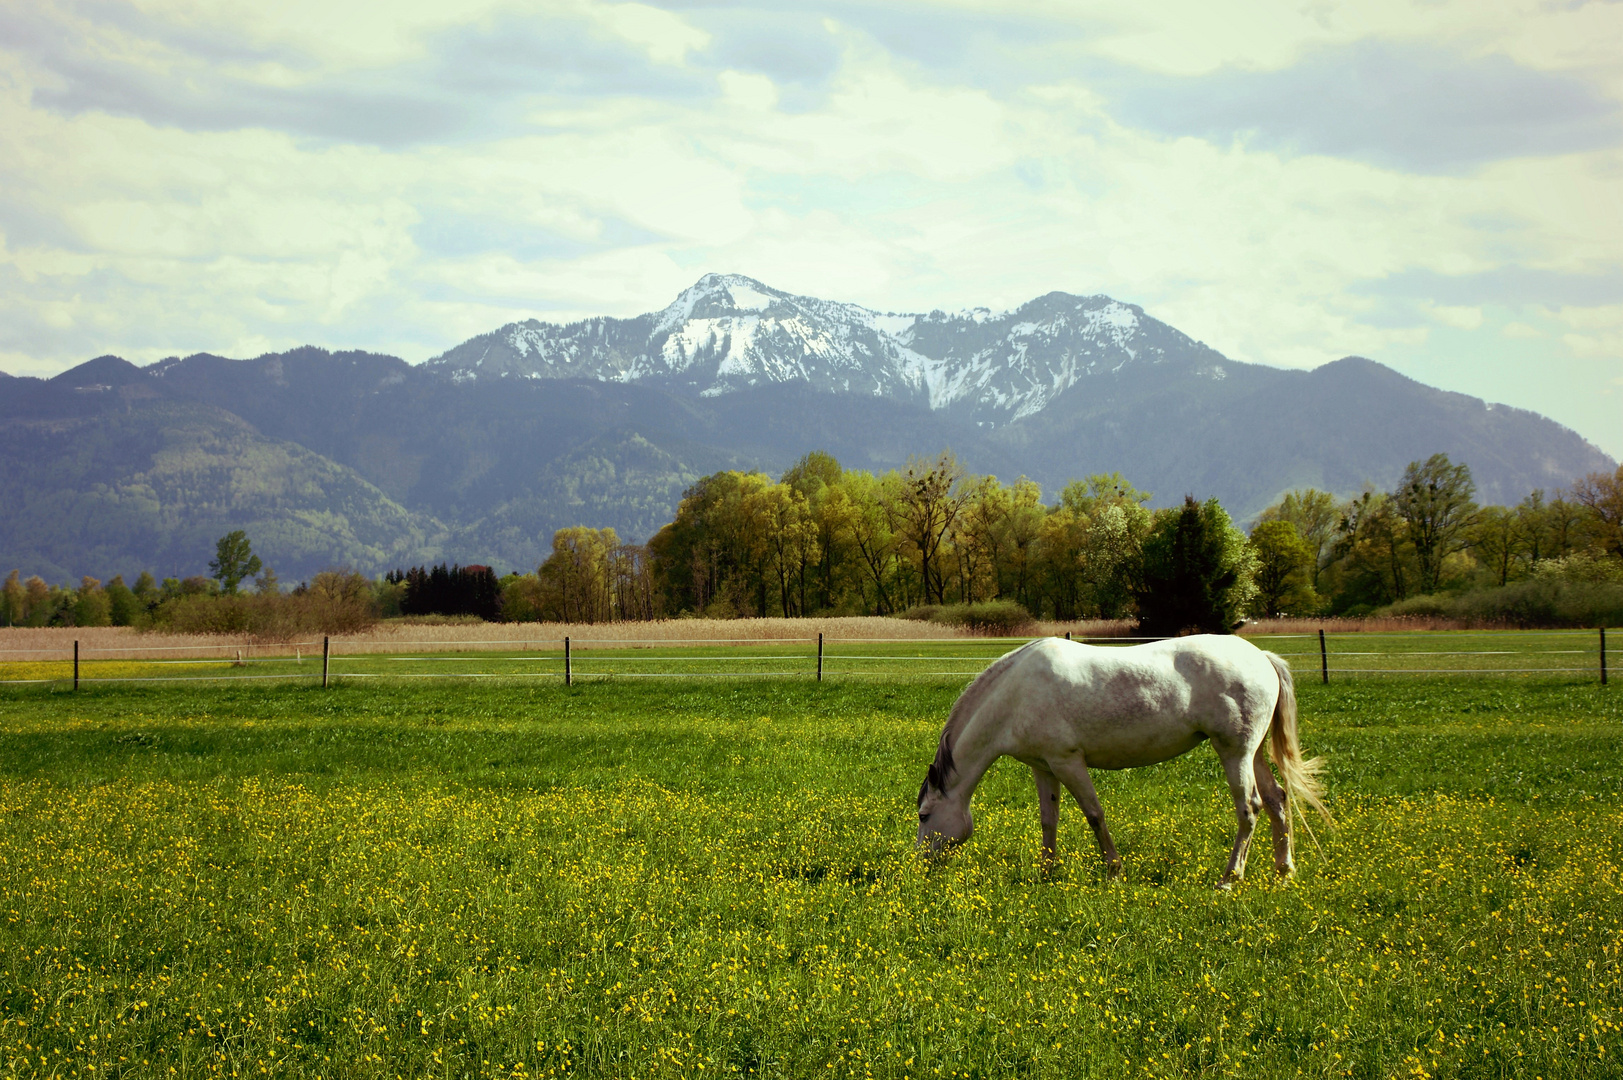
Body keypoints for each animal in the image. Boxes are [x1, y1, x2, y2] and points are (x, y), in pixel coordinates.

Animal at [921, 633, 1324, 883]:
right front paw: (1046, 872)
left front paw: (1114, 870)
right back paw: (1284, 870)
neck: (1015, 695)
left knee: (1250, 807)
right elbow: (1048, 821)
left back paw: (1230, 878)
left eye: (924, 815)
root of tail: (1262, 658)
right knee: (1276, 800)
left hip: (1234, 752)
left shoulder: (1068, 762)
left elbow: (1094, 815)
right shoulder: (1044, 767)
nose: (921, 863)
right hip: (1253, 753)